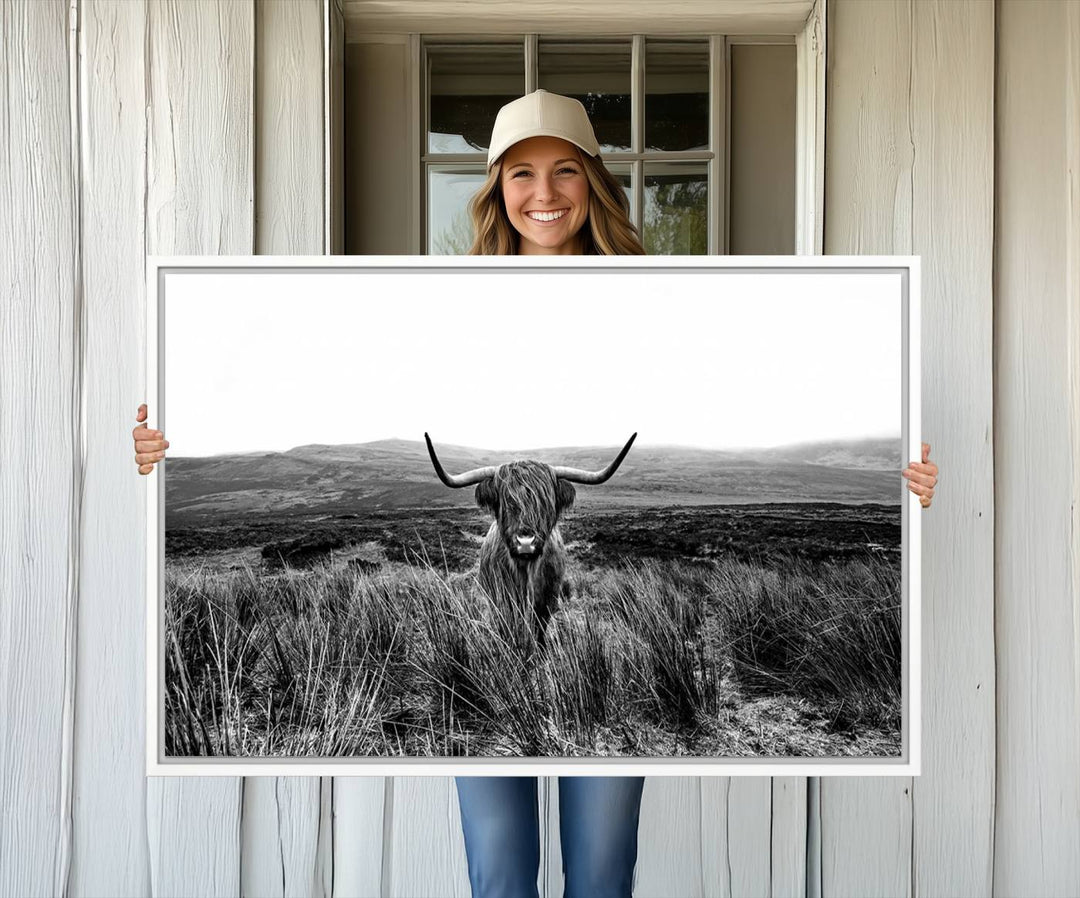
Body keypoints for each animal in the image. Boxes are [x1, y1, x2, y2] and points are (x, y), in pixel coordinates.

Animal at [423, 434, 639, 648]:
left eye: (545, 503)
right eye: (506, 502)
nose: (525, 542)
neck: (525, 571)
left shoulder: (547, 600)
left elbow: (538, 628)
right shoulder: (501, 599)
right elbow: (509, 626)